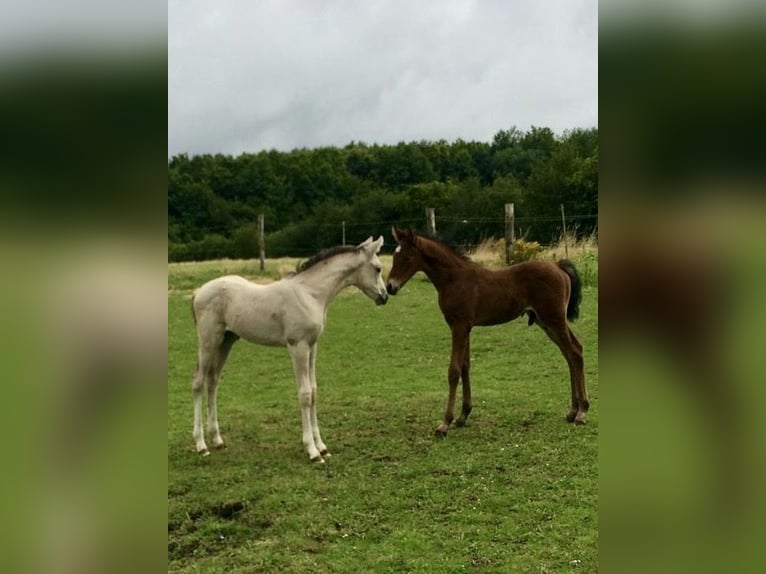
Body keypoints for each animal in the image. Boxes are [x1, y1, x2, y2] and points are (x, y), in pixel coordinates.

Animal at [388, 228, 592, 436]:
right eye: (394, 256)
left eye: (406, 257)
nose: (390, 287)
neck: (454, 279)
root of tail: (558, 266)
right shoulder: (465, 327)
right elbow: (465, 366)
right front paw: (463, 415)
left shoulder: (459, 325)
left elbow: (454, 370)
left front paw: (444, 423)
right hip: (546, 322)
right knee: (570, 353)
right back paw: (572, 411)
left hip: (554, 319)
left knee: (574, 352)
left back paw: (582, 412)